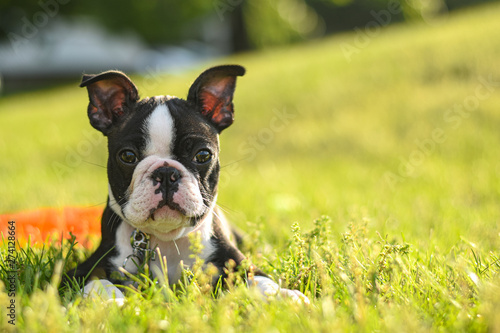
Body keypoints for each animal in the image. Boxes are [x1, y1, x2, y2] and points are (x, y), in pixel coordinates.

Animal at [64, 64, 308, 304]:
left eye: (203, 155)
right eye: (127, 156)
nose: (166, 173)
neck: (167, 240)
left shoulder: (237, 262)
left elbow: (260, 280)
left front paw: (283, 296)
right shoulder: (80, 272)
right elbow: (97, 282)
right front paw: (108, 301)